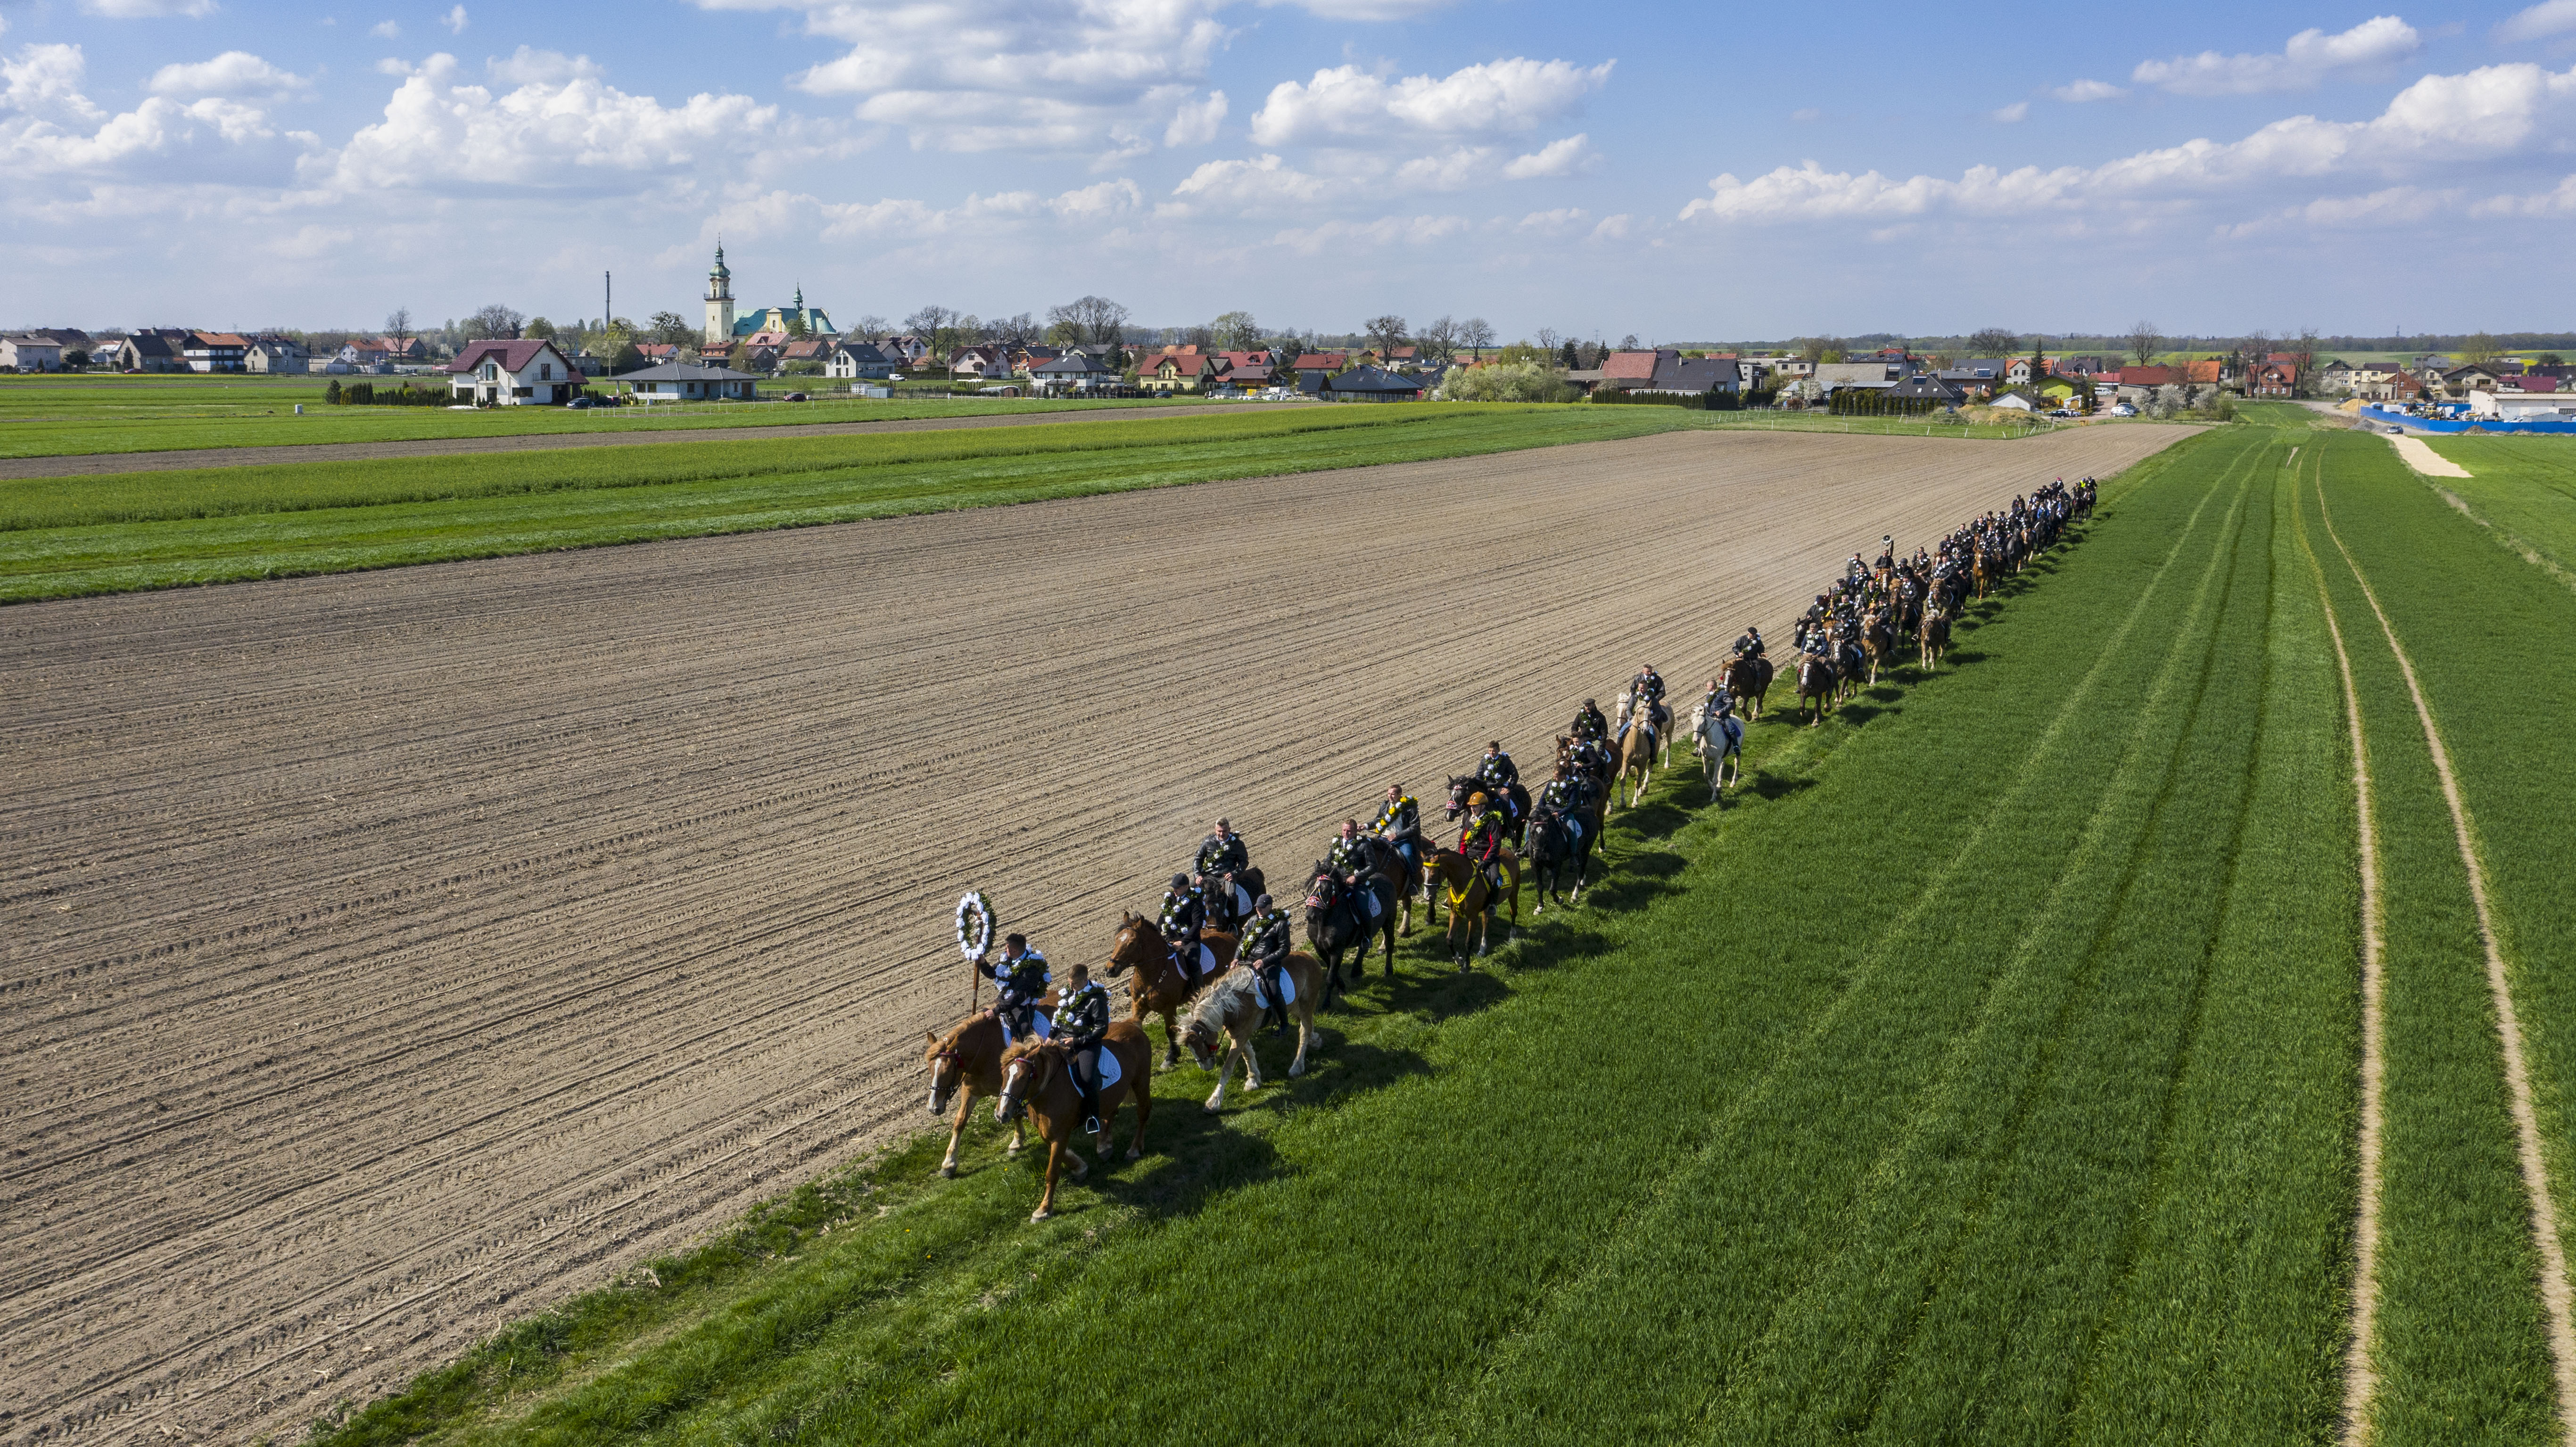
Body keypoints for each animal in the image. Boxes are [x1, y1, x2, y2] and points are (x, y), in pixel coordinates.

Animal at [922, 1009, 1030, 1179]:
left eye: (948, 1071)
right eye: (930, 1069)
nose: (933, 1108)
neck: (984, 1052)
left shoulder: (1014, 1089)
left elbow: (1016, 1114)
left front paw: (1017, 1142)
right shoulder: (970, 1091)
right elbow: (960, 1122)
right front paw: (949, 1163)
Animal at [989, 1025, 1154, 1215]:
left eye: (1023, 1077)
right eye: (1003, 1073)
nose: (1001, 1114)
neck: (1049, 1088)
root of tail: (1134, 1025)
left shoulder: (1061, 1134)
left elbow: (1052, 1172)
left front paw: (1044, 1209)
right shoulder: (1047, 1131)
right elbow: (1058, 1154)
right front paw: (1080, 1168)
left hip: (1141, 1082)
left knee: (1143, 1113)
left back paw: (1134, 1150)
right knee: (1111, 1112)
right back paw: (1104, 1146)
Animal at [1097, 911, 1236, 1071]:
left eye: (1132, 943)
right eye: (1116, 940)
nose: (1110, 970)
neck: (1153, 974)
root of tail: (1230, 937)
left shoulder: (1169, 1008)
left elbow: (1170, 1031)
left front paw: (1171, 1057)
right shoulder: (1138, 1006)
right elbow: (1135, 1024)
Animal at [1174, 958, 1319, 1102]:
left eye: (1202, 1043)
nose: (1205, 1067)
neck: (1231, 1003)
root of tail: (1310, 957)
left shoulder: (1241, 1035)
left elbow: (1228, 1067)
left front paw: (1214, 1101)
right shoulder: (1238, 1034)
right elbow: (1248, 1054)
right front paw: (1254, 1080)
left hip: (1306, 1004)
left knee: (1304, 1032)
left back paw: (1297, 1066)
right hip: (1296, 1007)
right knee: (1308, 1025)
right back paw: (1315, 1040)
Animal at [1422, 839, 1514, 963]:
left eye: (1434, 874)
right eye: (1422, 872)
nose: (1427, 896)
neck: (1462, 882)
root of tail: (1509, 851)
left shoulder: (1473, 916)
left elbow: (1469, 942)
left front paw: (1466, 964)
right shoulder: (1456, 913)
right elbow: (1449, 939)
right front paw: (1458, 959)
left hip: (1514, 893)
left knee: (1513, 913)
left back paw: (1512, 938)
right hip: (1486, 908)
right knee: (1486, 922)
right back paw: (1482, 949)